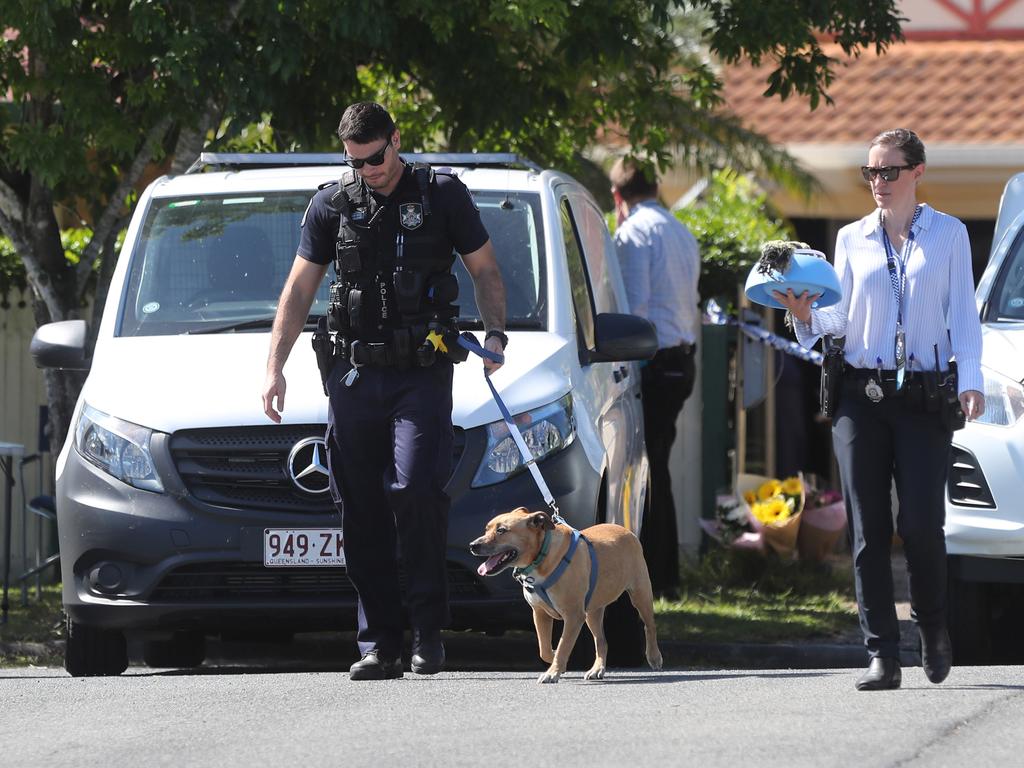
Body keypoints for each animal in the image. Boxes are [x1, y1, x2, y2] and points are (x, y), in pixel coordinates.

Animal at [466, 507, 659, 684]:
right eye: (486, 529)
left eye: (501, 530)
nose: (472, 545)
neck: (541, 556)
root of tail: (627, 531)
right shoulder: (539, 613)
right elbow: (544, 648)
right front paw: (556, 662)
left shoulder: (573, 616)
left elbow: (563, 645)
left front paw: (554, 671)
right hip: (592, 613)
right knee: (601, 640)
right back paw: (597, 669)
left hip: (640, 594)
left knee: (649, 626)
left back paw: (654, 656)